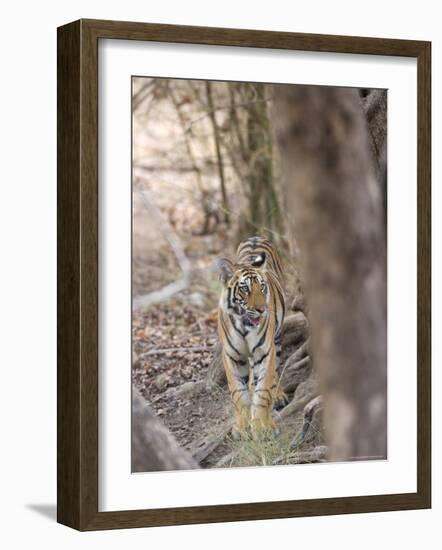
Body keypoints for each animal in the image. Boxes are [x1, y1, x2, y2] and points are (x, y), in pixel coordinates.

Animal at [214, 237, 286, 440]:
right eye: (245, 288)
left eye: (262, 287)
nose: (262, 309)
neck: (244, 327)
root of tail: (255, 237)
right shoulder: (232, 356)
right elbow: (238, 393)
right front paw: (242, 427)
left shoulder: (265, 352)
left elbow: (263, 390)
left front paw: (262, 427)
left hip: (276, 339)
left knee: (275, 370)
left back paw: (278, 395)